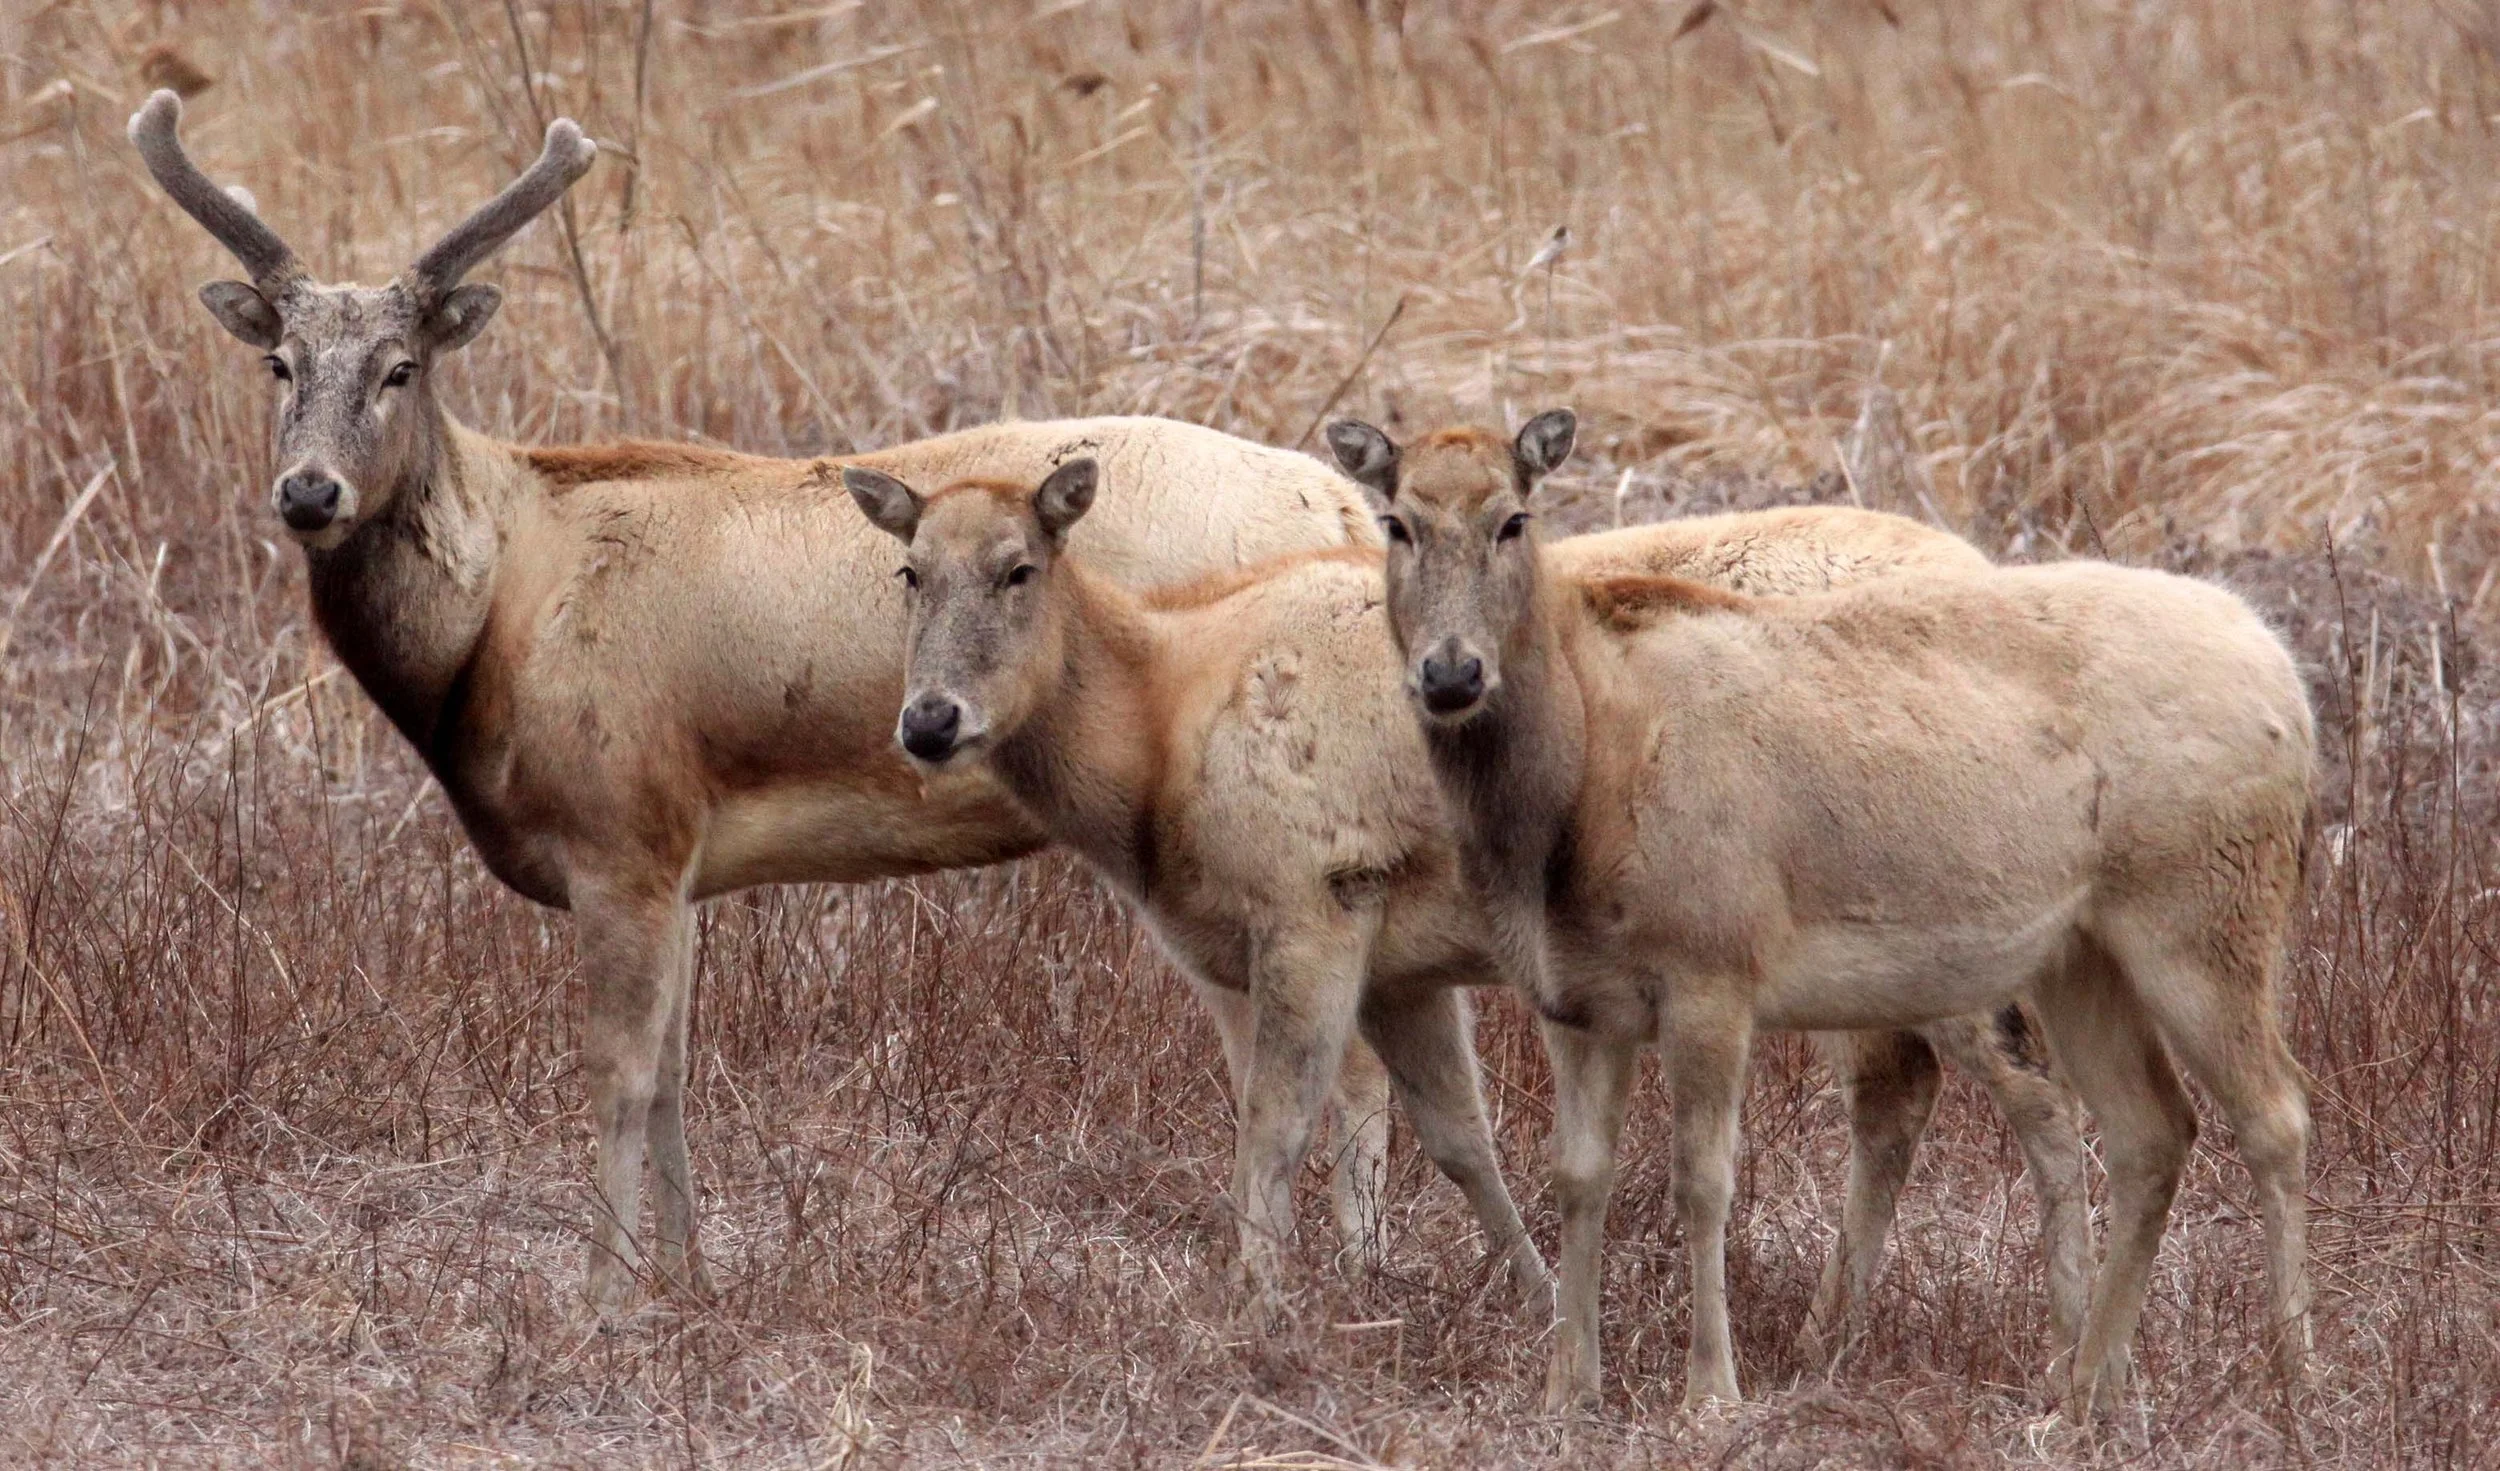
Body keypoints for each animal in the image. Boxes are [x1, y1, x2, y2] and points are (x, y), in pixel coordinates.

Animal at [126, 89, 1403, 1317]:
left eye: (402, 369)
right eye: (280, 365)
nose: (308, 492)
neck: (498, 617)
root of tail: (1344, 505)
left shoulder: (620, 822)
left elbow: (619, 1073)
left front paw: (604, 1300)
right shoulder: (679, 851)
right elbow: (676, 1076)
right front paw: (685, 1279)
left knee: (1348, 1059)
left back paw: (1359, 1274)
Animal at [842, 457, 2089, 1345]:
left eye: (1018, 567)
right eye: (908, 572)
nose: (929, 721)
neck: (1157, 743)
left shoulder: (1314, 896)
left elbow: (1275, 1126)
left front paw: (1253, 1317)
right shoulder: (1391, 961)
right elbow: (1457, 1137)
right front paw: (1536, 1299)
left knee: (2029, 1090)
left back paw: (2063, 1342)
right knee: (1901, 1088)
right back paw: (1837, 1330)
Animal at [1329, 410, 2314, 1419]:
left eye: (1514, 519)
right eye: (1398, 522)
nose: (1452, 672)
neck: (1573, 800)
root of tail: (2290, 683)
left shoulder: (1714, 965)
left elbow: (1702, 1182)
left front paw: (1711, 1391)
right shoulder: (1570, 998)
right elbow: (1575, 1176)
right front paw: (1569, 1385)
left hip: (2208, 908)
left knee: (2277, 1111)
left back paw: (2292, 1369)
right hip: (2081, 954)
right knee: (2152, 1128)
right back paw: (2089, 1385)